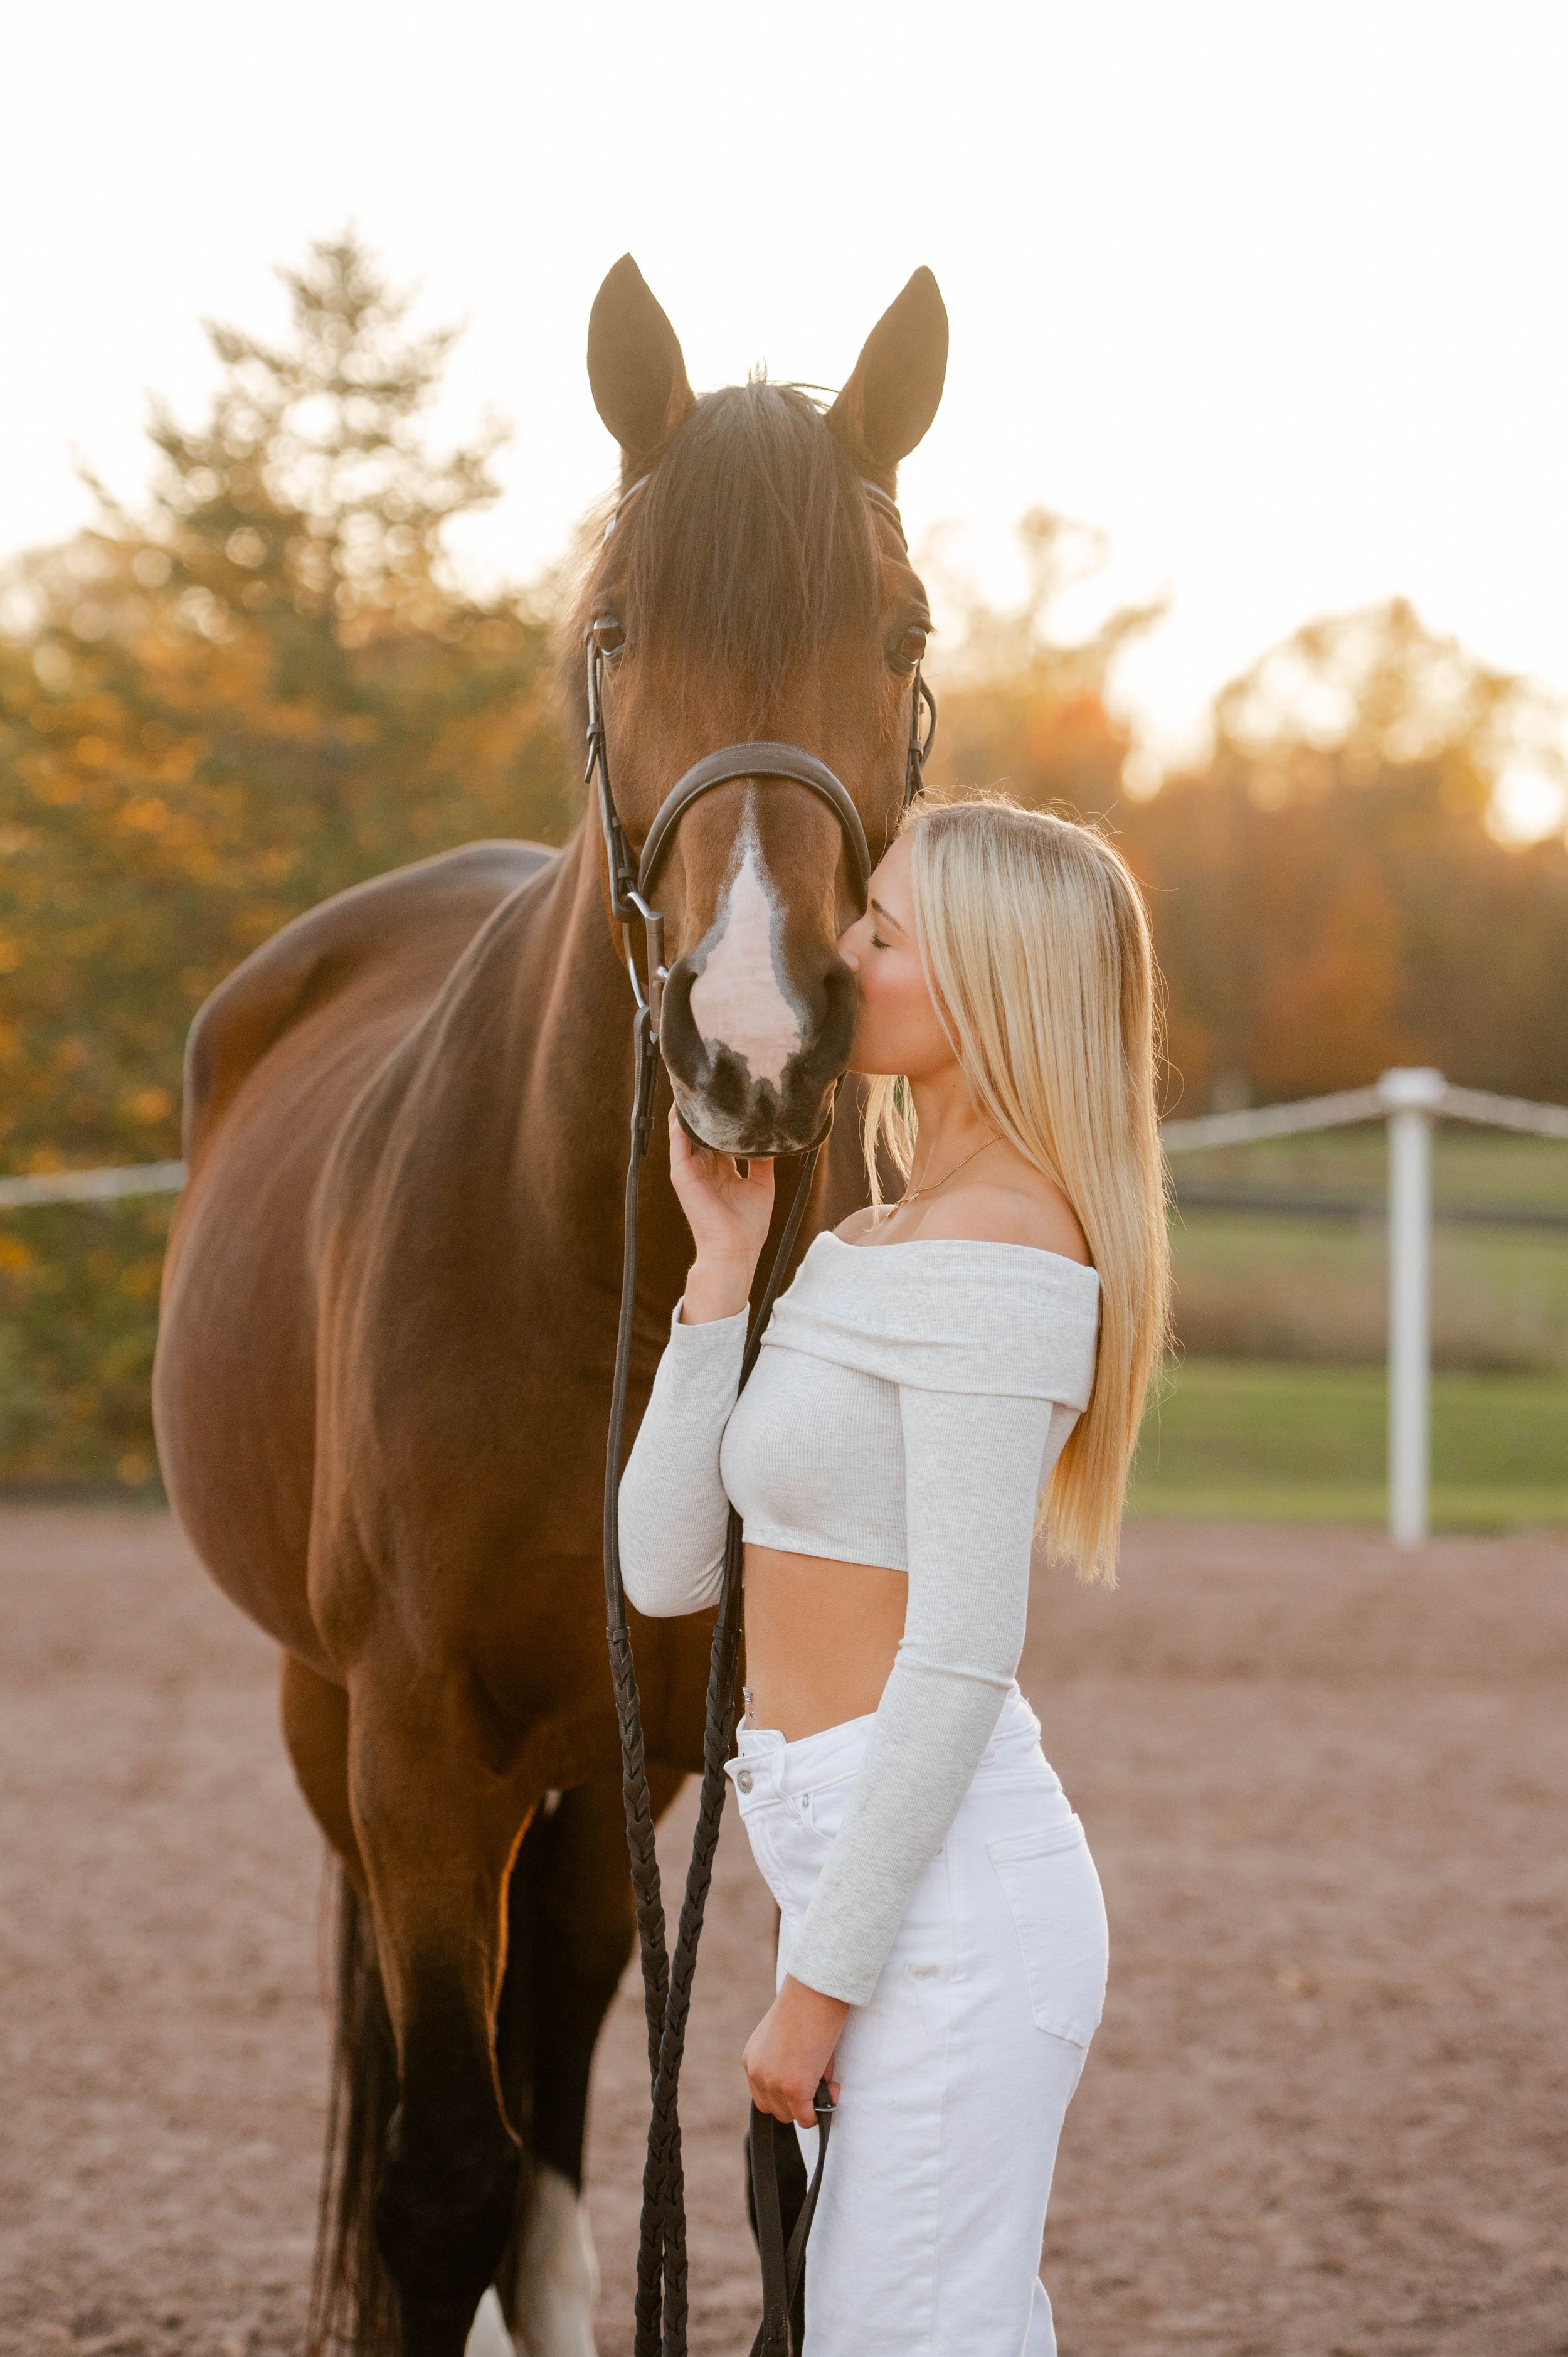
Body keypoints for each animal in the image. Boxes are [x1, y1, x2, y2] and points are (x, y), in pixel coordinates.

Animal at [151, 252, 947, 2357]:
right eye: (612, 626)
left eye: (902, 629)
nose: (750, 1043)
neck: (609, 1279)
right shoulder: (418, 1743)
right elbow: (437, 2175)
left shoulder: (723, 1728)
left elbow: (716, 2147)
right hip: (346, 1723)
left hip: (607, 1766)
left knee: (577, 2089)